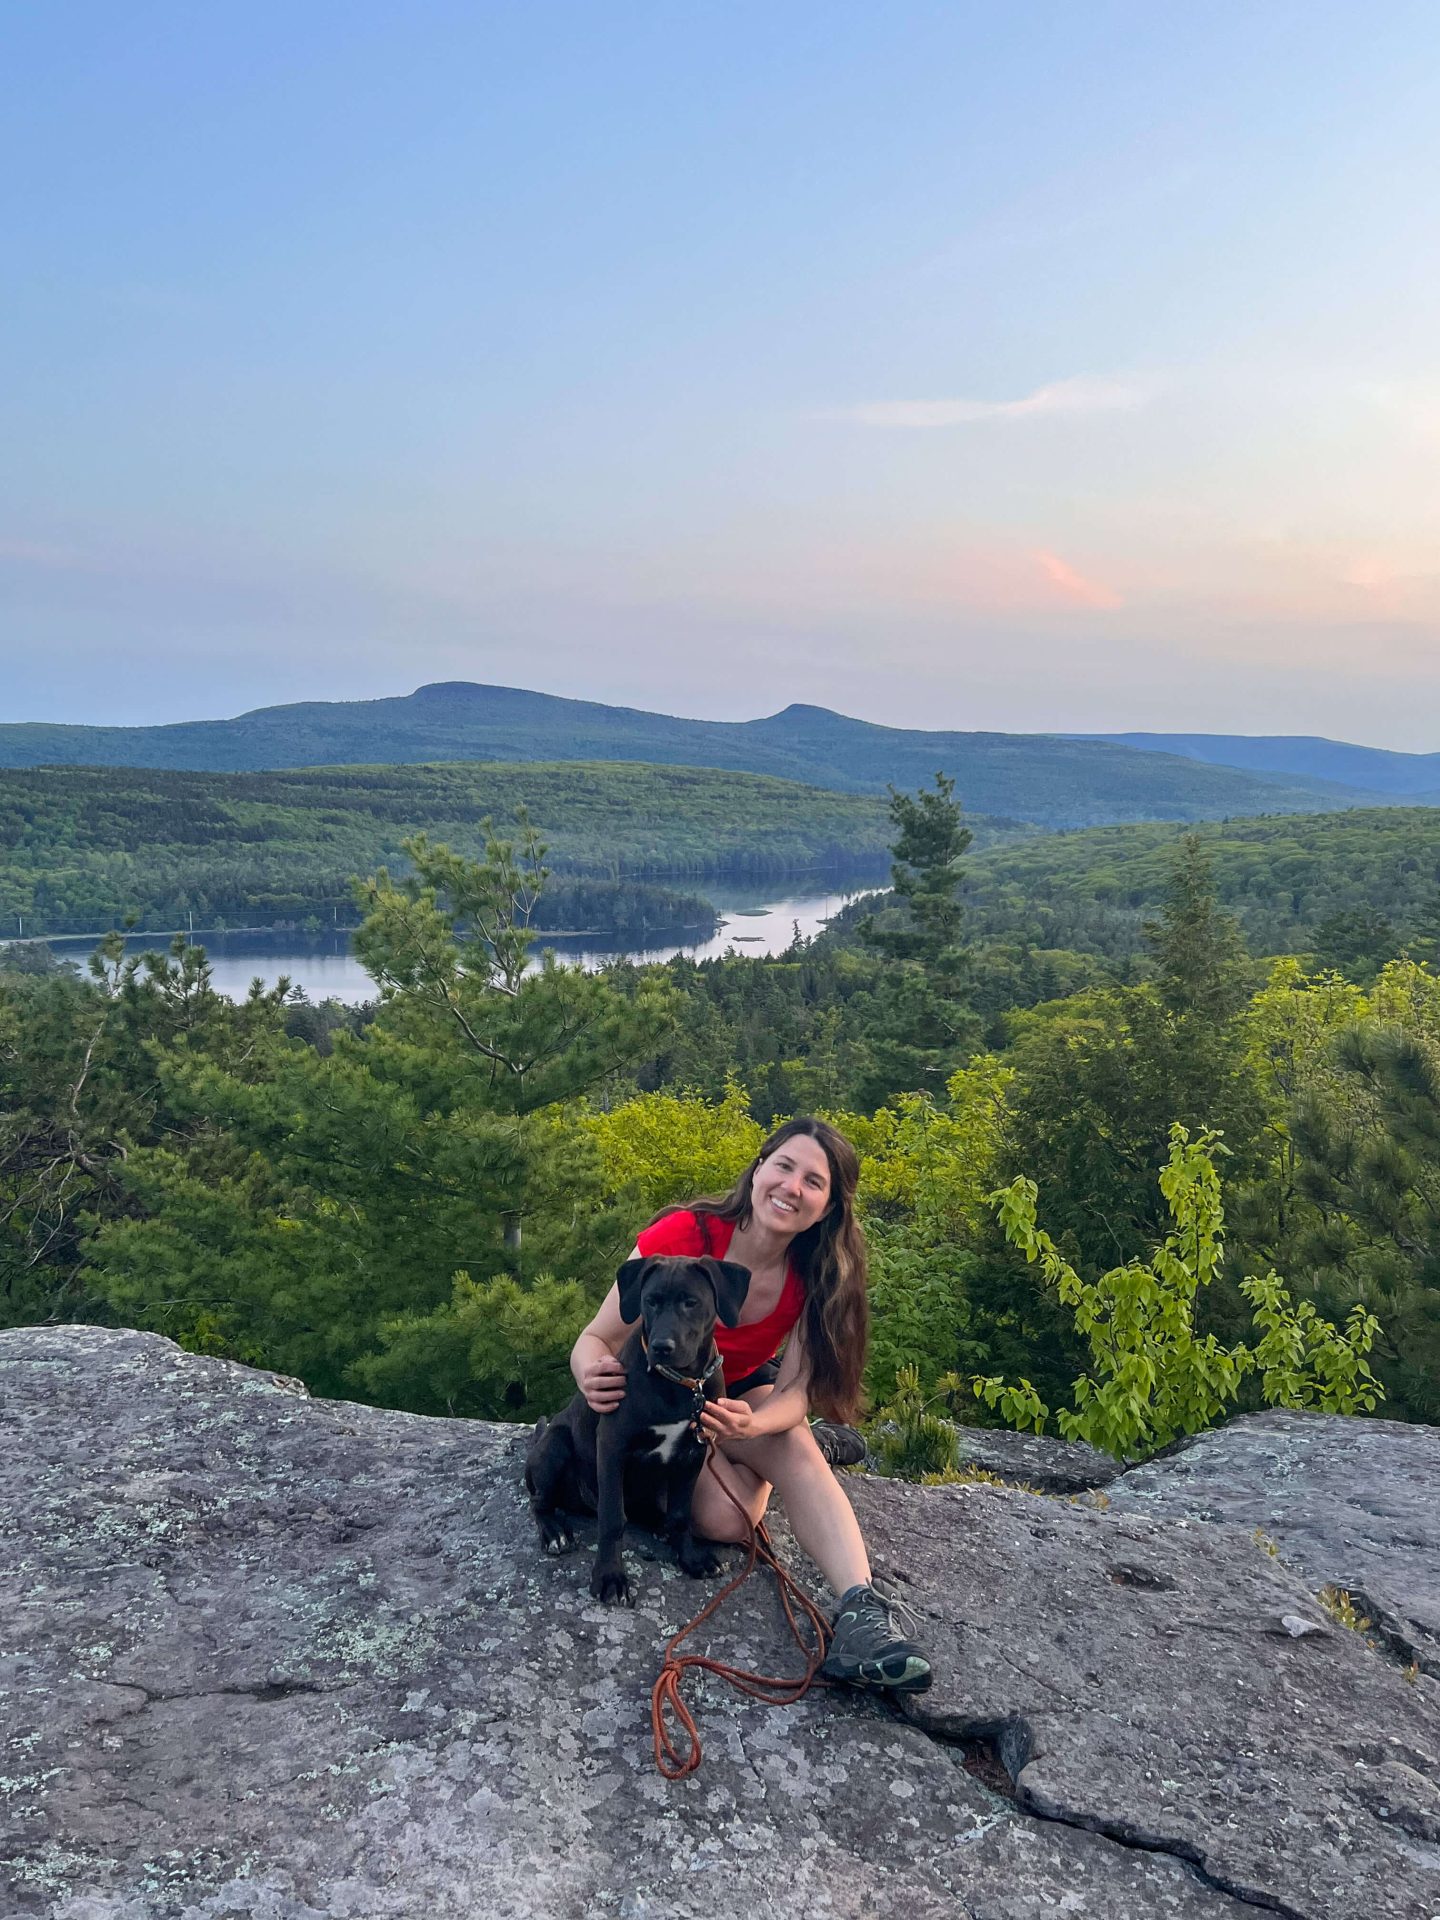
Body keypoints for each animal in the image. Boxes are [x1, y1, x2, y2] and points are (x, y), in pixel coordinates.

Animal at [529, 1251, 756, 1612]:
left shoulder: (693, 1452)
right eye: (650, 1301)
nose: (662, 1347)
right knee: (540, 1501)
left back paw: (660, 1527)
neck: (680, 1383)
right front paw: (610, 1577)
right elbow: (612, 1518)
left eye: (691, 1302)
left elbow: (680, 1512)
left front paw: (691, 1557)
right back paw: (554, 1532)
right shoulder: (612, 1446)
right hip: (556, 1445)